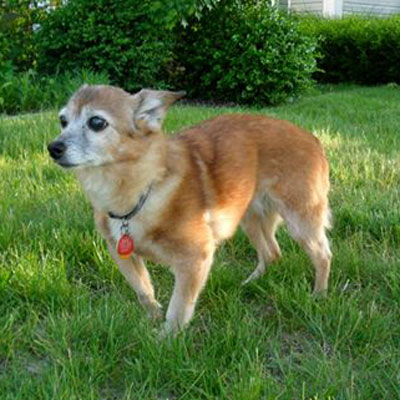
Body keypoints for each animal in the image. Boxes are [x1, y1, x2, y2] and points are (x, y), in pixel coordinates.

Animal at [48, 85, 332, 334]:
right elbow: (142, 289)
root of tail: (313, 138)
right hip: (250, 218)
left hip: (301, 218)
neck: (139, 189)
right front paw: (152, 317)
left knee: (323, 255)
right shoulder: (121, 253)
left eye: (97, 122)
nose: (53, 148)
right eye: (62, 121)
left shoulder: (194, 259)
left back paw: (319, 294)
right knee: (272, 253)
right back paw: (251, 283)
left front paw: (165, 341)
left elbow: (178, 307)